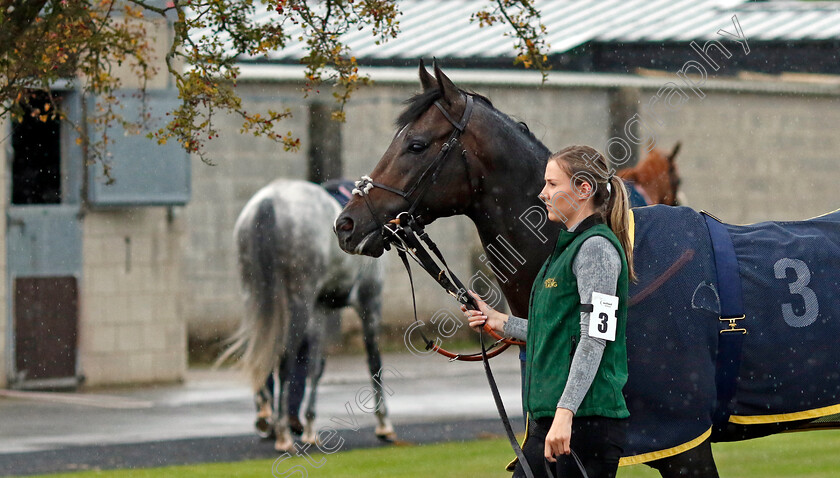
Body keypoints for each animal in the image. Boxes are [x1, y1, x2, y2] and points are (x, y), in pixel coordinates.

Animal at [223, 179, 394, 452]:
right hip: (298, 302)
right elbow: (374, 362)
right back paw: (282, 434)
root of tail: (268, 202)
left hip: (253, 295)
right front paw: (384, 424)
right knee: (284, 359)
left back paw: (268, 419)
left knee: (259, 354)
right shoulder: (370, 301)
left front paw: (311, 428)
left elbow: (316, 367)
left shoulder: (320, 308)